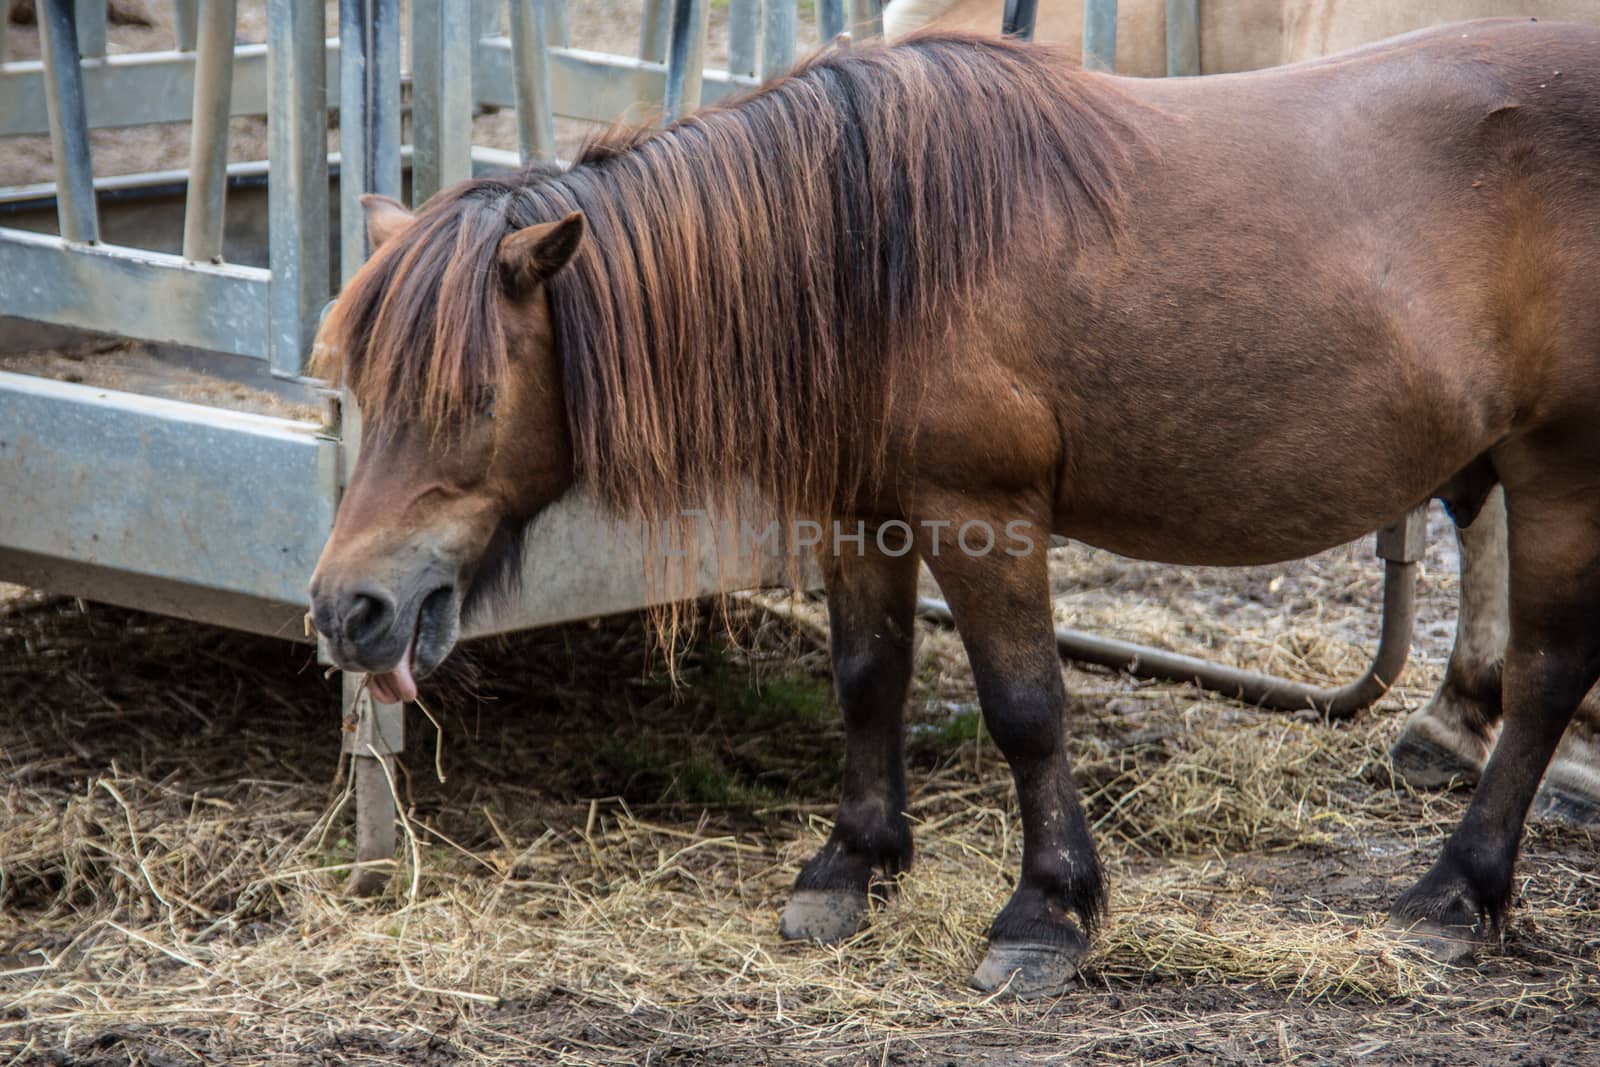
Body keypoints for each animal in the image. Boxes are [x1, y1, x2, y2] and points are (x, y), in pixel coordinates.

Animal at [308, 20, 1600, 998]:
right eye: (360, 383)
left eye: (474, 396)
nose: (346, 609)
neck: (873, 253)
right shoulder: (857, 514)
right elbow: (867, 678)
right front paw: (852, 865)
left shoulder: (980, 515)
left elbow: (1025, 707)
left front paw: (1044, 913)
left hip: (1560, 466)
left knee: (1546, 674)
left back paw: (1455, 888)